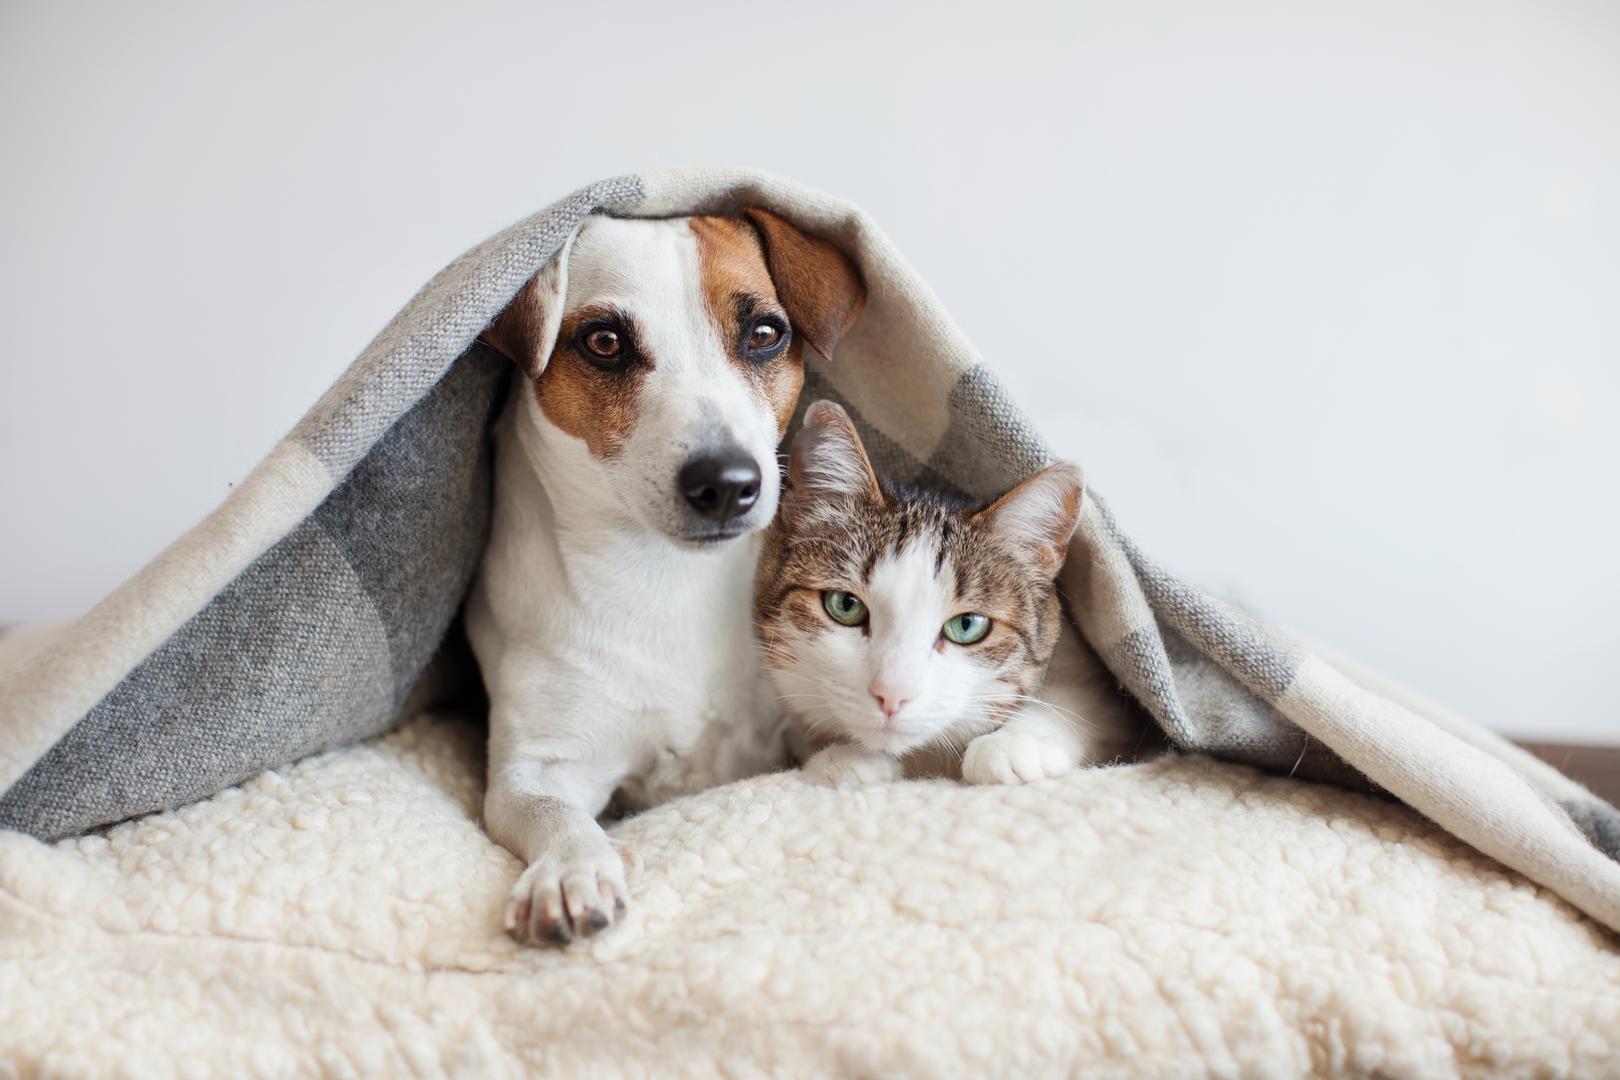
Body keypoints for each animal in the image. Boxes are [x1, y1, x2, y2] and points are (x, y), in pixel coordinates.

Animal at [466, 208, 868, 945]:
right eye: (604, 342)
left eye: (764, 334)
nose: (728, 483)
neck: (666, 578)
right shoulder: (534, 767)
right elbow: (550, 812)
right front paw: (571, 868)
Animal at [748, 396, 1140, 786]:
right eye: (845, 605)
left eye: (967, 625)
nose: (892, 694)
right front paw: (842, 758)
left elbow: (1083, 703)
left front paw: (1014, 743)